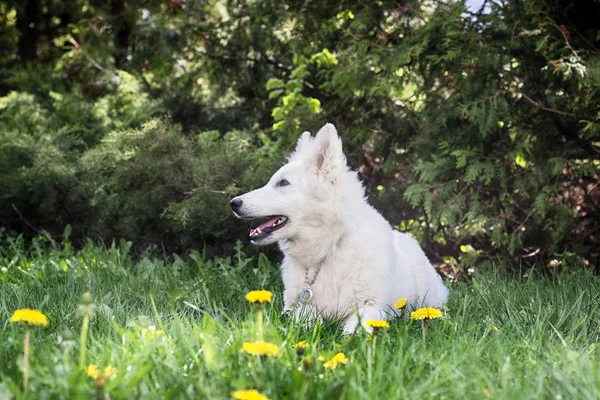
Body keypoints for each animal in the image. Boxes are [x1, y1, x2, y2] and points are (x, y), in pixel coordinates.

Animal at [232, 123, 448, 332]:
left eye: (283, 183)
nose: (233, 203)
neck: (330, 248)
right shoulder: (296, 305)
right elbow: (306, 315)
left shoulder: (372, 306)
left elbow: (358, 326)